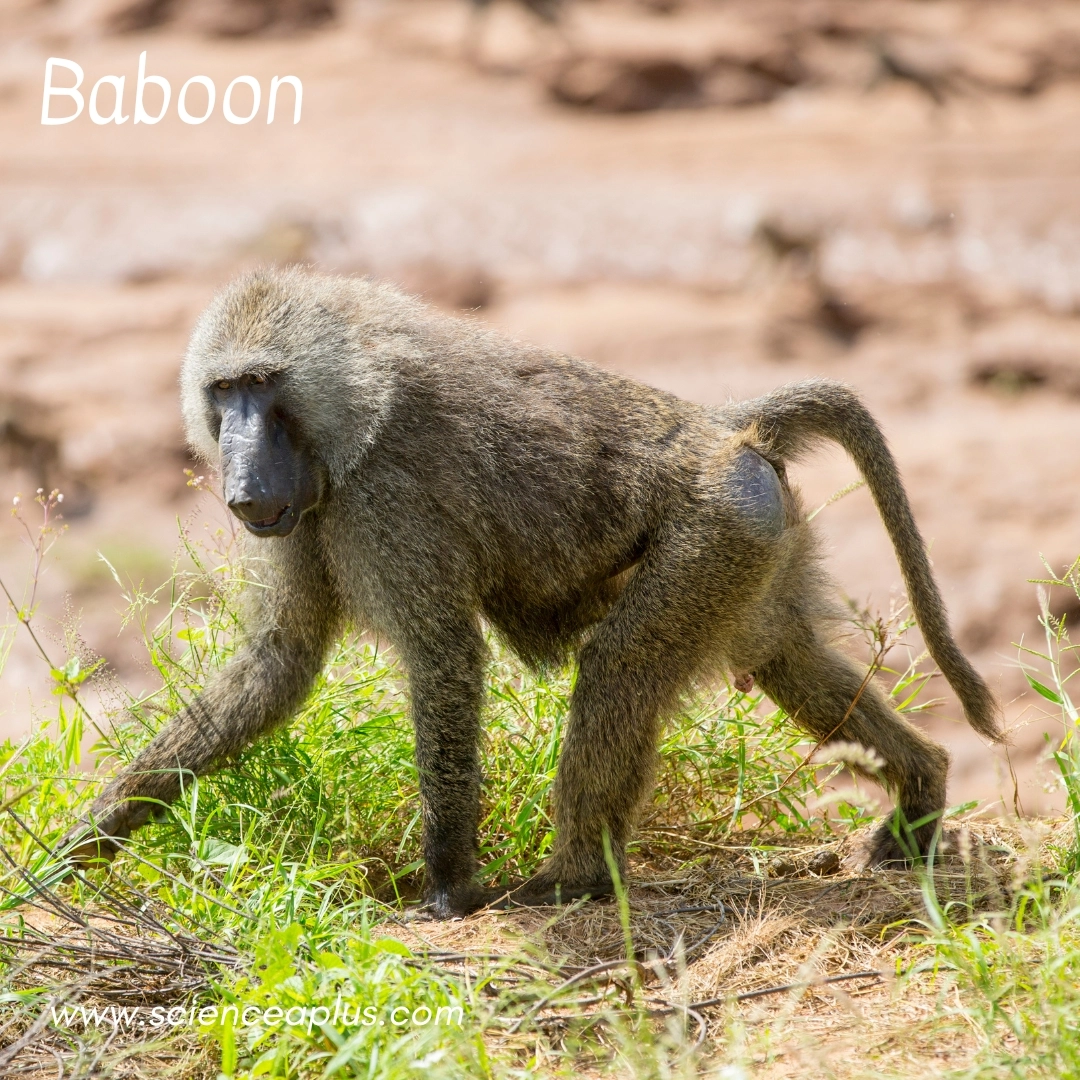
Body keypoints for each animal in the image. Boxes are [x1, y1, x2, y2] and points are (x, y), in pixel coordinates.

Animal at [59, 267, 1002, 918]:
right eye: (223, 393)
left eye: (264, 387)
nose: (244, 481)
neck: (352, 403)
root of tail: (727, 425)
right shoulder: (304, 518)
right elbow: (276, 666)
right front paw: (85, 838)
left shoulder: (386, 500)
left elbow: (444, 657)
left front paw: (449, 885)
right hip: (756, 536)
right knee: (785, 658)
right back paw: (921, 794)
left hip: (714, 526)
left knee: (622, 666)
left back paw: (571, 877)